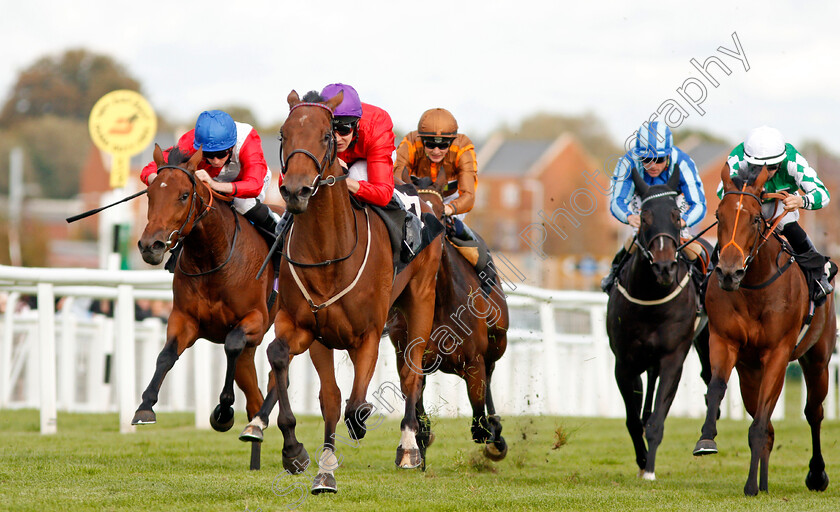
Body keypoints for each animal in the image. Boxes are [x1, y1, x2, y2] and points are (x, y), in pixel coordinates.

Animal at [130, 146, 278, 438]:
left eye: (184, 195)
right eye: (150, 194)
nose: (150, 246)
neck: (213, 259)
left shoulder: (255, 318)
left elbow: (232, 343)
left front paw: (224, 410)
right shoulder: (185, 319)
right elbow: (166, 356)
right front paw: (145, 407)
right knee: (254, 394)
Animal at [241, 90, 440, 494]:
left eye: (327, 135)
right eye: (284, 134)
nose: (295, 190)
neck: (327, 254)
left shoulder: (367, 334)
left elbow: (355, 405)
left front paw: (360, 427)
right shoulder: (309, 329)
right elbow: (317, 388)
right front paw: (306, 459)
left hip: (420, 301)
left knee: (411, 373)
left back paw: (410, 447)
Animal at [388, 173, 512, 464]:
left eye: (442, 215)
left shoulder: (474, 361)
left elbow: (479, 423)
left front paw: (494, 435)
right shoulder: (407, 354)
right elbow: (415, 398)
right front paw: (418, 439)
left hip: (497, 342)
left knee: (490, 377)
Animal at [608, 166, 712, 482]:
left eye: (677, 216)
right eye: (644, 217)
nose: (664, 267)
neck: (652, 300)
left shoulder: (672, 359)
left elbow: (656, 420)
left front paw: (650, 469)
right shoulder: (624, 362)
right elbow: (632, 420)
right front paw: (643, 461)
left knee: (709, 377)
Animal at [692, 165, 836, 496]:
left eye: (756, 218)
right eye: (719, 215)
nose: (729, 272)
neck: (754, 287)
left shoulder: (778, 354)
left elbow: (760, 424)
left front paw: (749, 486)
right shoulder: (724, 341)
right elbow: (717, 387)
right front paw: (706, 438)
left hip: (818, 359)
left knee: (813, 412)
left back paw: (816, 475)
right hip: (749, 371)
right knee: (767, 423)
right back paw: (764, 483)